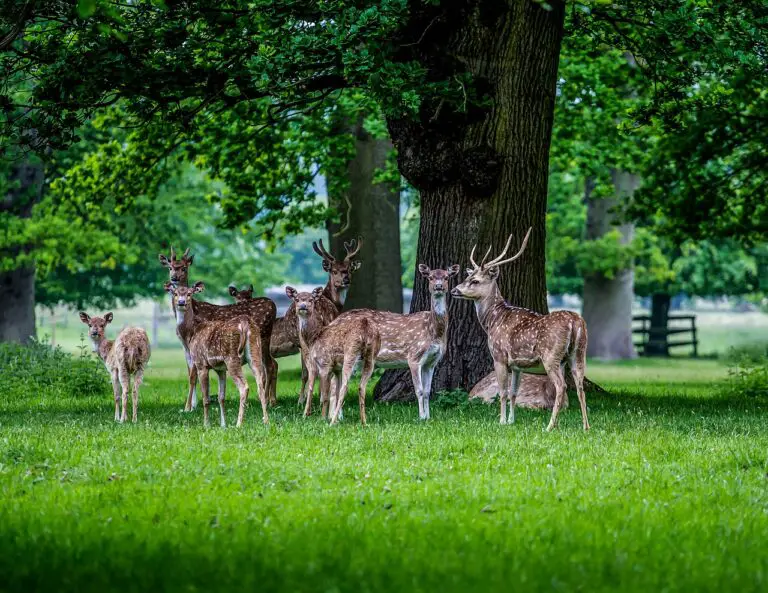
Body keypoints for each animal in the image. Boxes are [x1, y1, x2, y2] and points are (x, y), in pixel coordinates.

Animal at [159, 247, 277, 412]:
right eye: (170, 267)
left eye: (184, 267)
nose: (174, 277)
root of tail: (273, 305)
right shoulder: (185, 346)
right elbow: (190, 373)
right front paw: (192, 405)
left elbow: (193, 374)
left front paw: (189, 407)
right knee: (271, 365)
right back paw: (272, 401)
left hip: (263, 337)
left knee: (269, 366)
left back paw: (267, 401)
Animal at [166, 281, 270, 427]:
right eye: (175, 293)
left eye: (189, 293)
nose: (181, 302)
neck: (192, 332)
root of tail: (245, 323)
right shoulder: (220, 369)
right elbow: (221, 397)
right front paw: (223, 424)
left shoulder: (201, 363)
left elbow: (206, 398)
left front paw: (206, 424)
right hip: (255, 352)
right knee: (260, 383)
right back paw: (266, 421)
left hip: (232, 357)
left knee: (244, 387)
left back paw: (238, 424)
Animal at [288, 287, 379, 425]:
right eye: (297, 299)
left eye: (311, 299)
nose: (303, 306)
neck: (314, 337)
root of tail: (366, 328)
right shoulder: (336, 368)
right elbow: (334, 391)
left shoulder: (325, 363)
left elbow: (325, 395)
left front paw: (323, 418)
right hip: (371, 356)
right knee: (361, 387)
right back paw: (364, 422)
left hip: (350, 352)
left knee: (345, 388)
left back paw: (332, 423)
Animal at [304, 263, 460, 420]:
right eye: (431, 277)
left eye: (447, 277)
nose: (439, 286)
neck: (433, 331)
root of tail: (333, 322)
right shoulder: (414, 356)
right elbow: (419, 390)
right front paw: (421, 418)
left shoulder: (432, 361)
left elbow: (428, 392)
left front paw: (428, 417)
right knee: (335, 384)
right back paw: (336, 417)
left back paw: (336, 416)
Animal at [451, 228, 590, 431]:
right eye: (466, 277)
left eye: (475, 281)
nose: (454, 290)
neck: (493, 320)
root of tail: (575, 322)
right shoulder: (518, 364)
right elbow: (513, 392)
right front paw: (511, 421)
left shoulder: (499, 355)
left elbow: (503, 391)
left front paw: (501, 421)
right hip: (578, 353)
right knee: (580, 386)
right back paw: (585, 426)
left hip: (551, 355)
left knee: (562, 386)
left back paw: (549, 426)